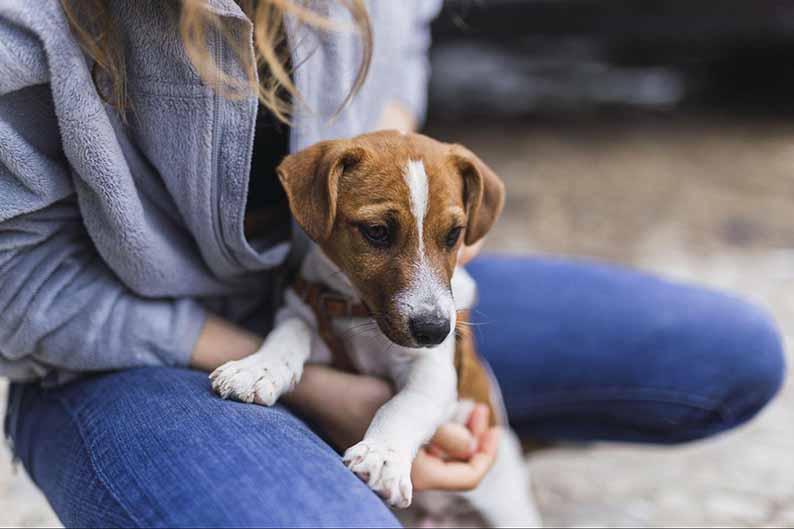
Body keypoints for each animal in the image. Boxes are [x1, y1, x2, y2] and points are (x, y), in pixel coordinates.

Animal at [210, 130, 540, 524]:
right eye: (377, 232)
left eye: (454, 235)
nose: (434, 330)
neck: (360, 316)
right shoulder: (311, 316)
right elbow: (291, 331)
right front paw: (258, 369)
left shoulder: (434, 369)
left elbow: (405, 405)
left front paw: (383, 455)